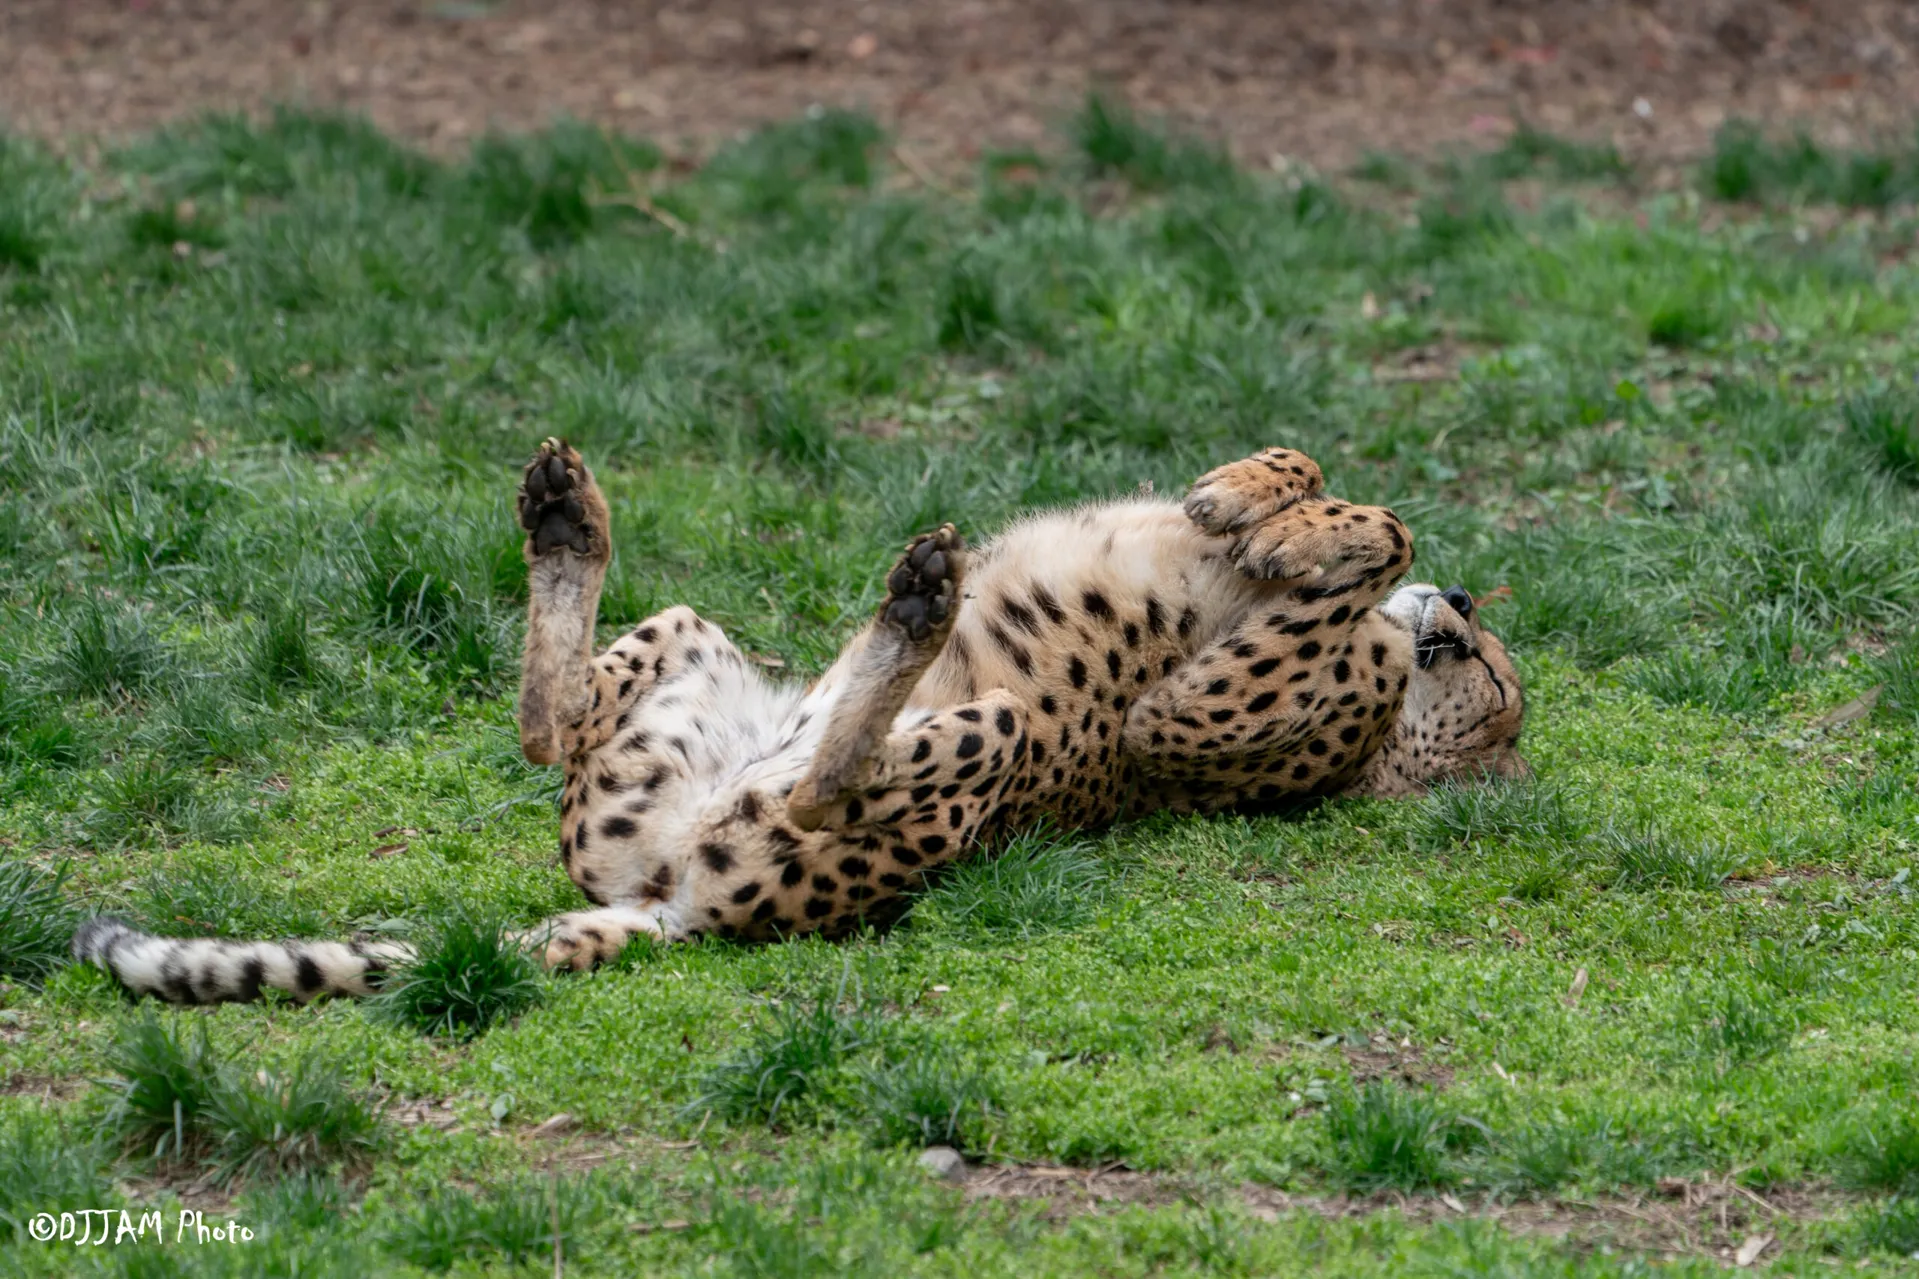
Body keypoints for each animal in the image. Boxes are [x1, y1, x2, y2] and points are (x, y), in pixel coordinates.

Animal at [74, 441, 1524, 1003]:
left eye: (1499, 708)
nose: (1466, 612)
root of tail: (671, 904)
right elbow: (1335, 491)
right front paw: (1259, 498)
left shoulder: (1171, 722)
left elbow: (1370, 541)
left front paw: (1310, 536)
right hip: (688, 649)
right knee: (549, 724)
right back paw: (566, 520)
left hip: (980, 745)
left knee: (828, 781)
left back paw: (918, 603)